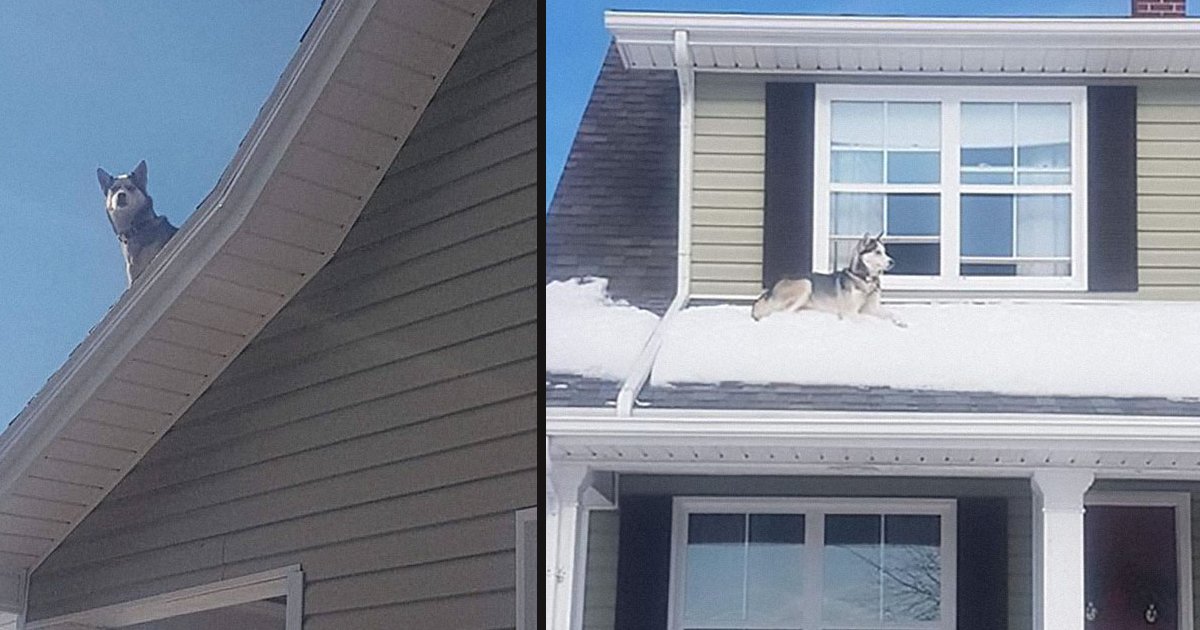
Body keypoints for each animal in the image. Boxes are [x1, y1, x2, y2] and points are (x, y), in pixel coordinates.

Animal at [748, 231, 907, 328]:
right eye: (878, 252)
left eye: (885, 252)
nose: (892, 262)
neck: (864, 278)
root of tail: (769, 290)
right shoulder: (850, 312)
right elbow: (865, 319)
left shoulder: (872, 308)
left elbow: (892, 314)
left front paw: (901, 322)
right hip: (805, 284)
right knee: (783, 313)